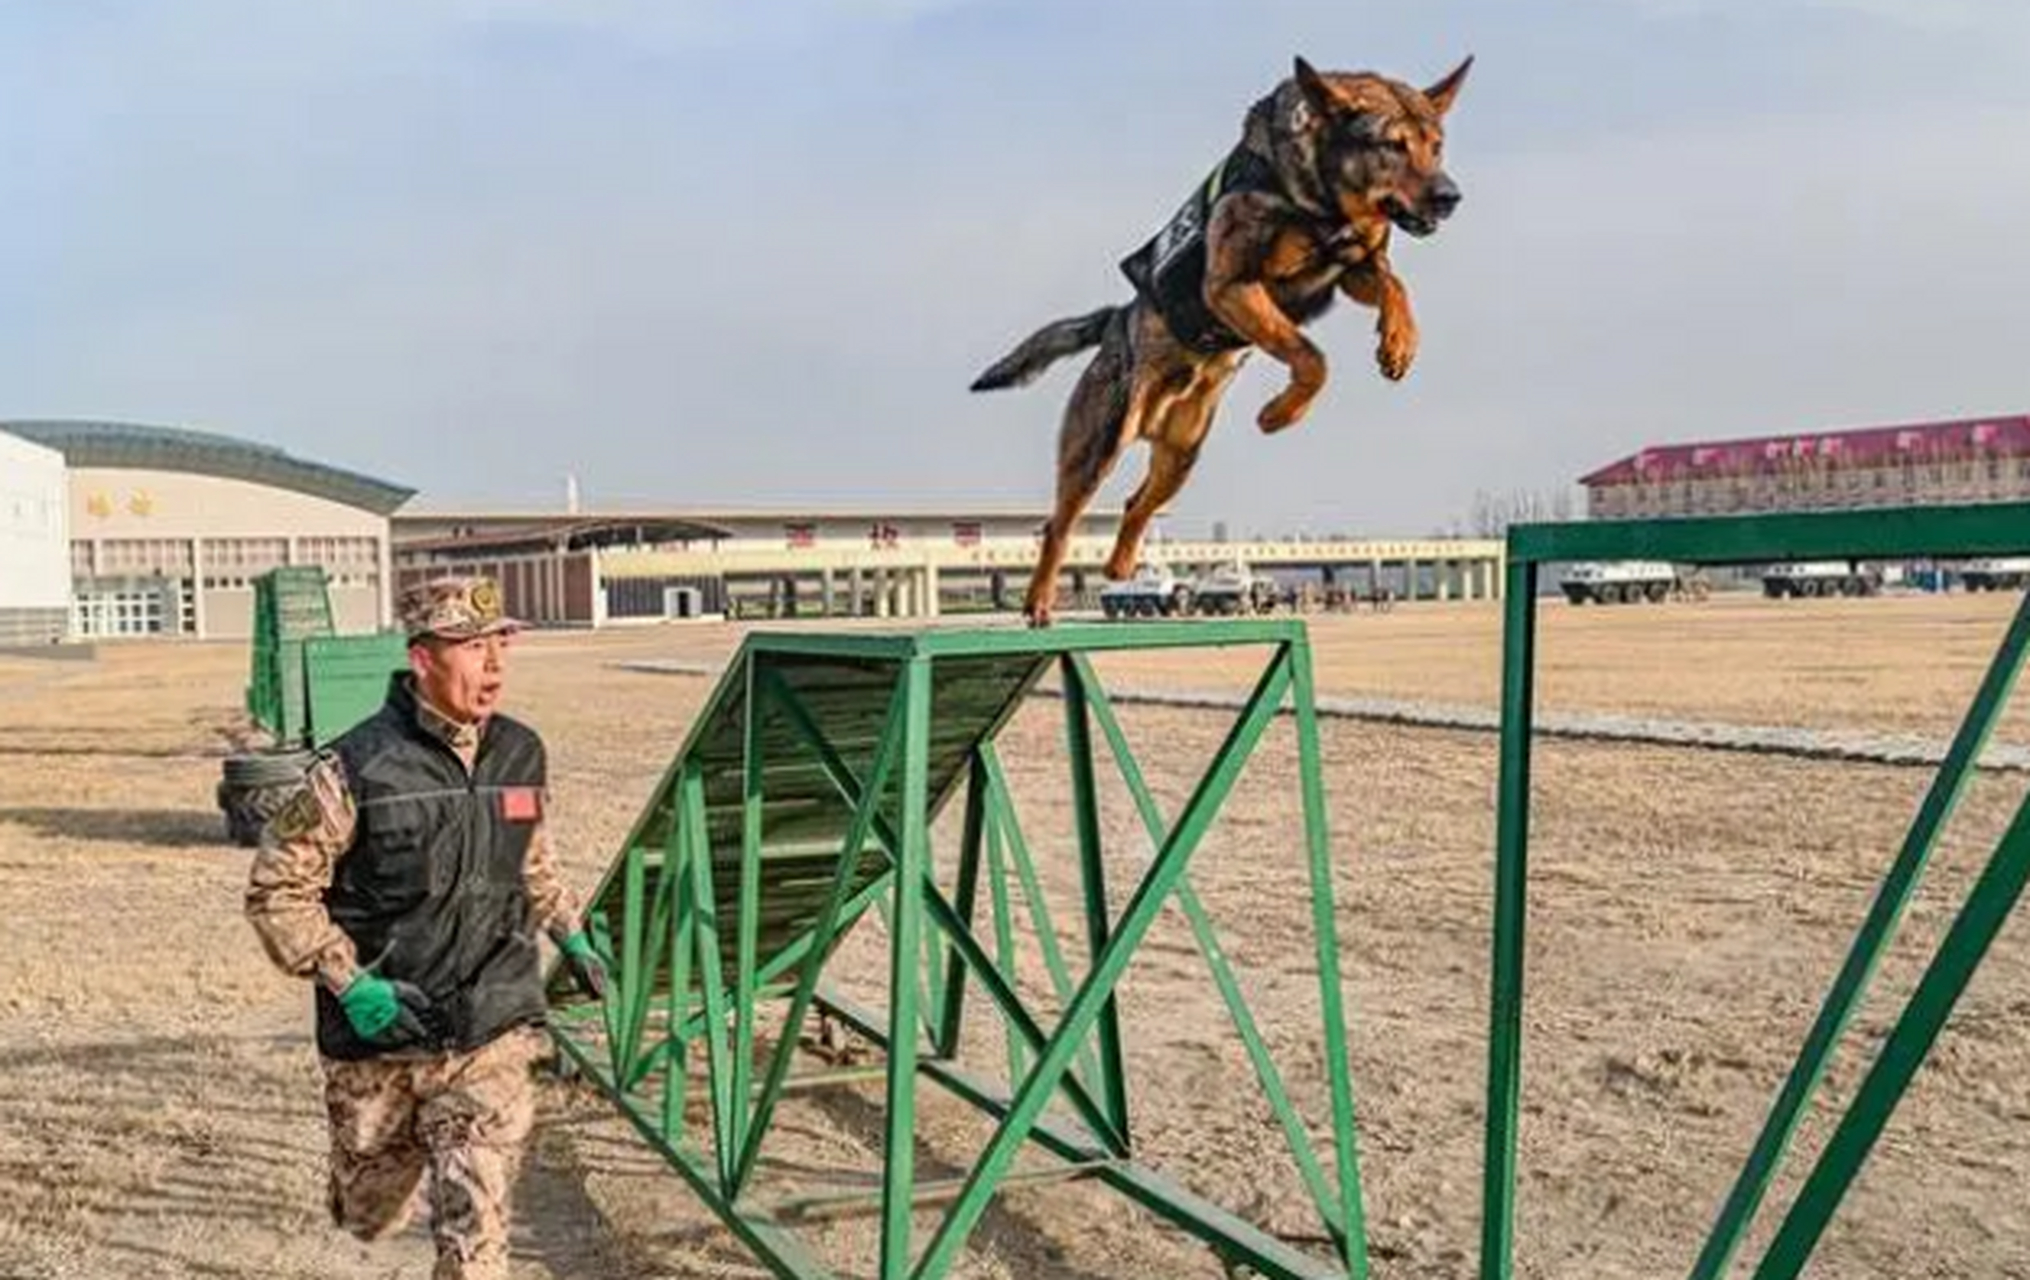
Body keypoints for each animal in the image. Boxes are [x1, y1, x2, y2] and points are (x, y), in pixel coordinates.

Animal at [970, 55, 1469, 624]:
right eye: (1392, 145)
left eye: (1436, 145)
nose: (1450, 197)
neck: (1322, 204)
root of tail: (1117, 319)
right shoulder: (1234, 286)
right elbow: (1311, 357)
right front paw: (1280, 413)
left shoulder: (1351, 270)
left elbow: (1393, 284)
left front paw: (1399, 341)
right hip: (1100, 443)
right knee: (1059, 522)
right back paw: (1039, 601)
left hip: (1183, 454)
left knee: (1137, 502)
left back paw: (1121, 567)